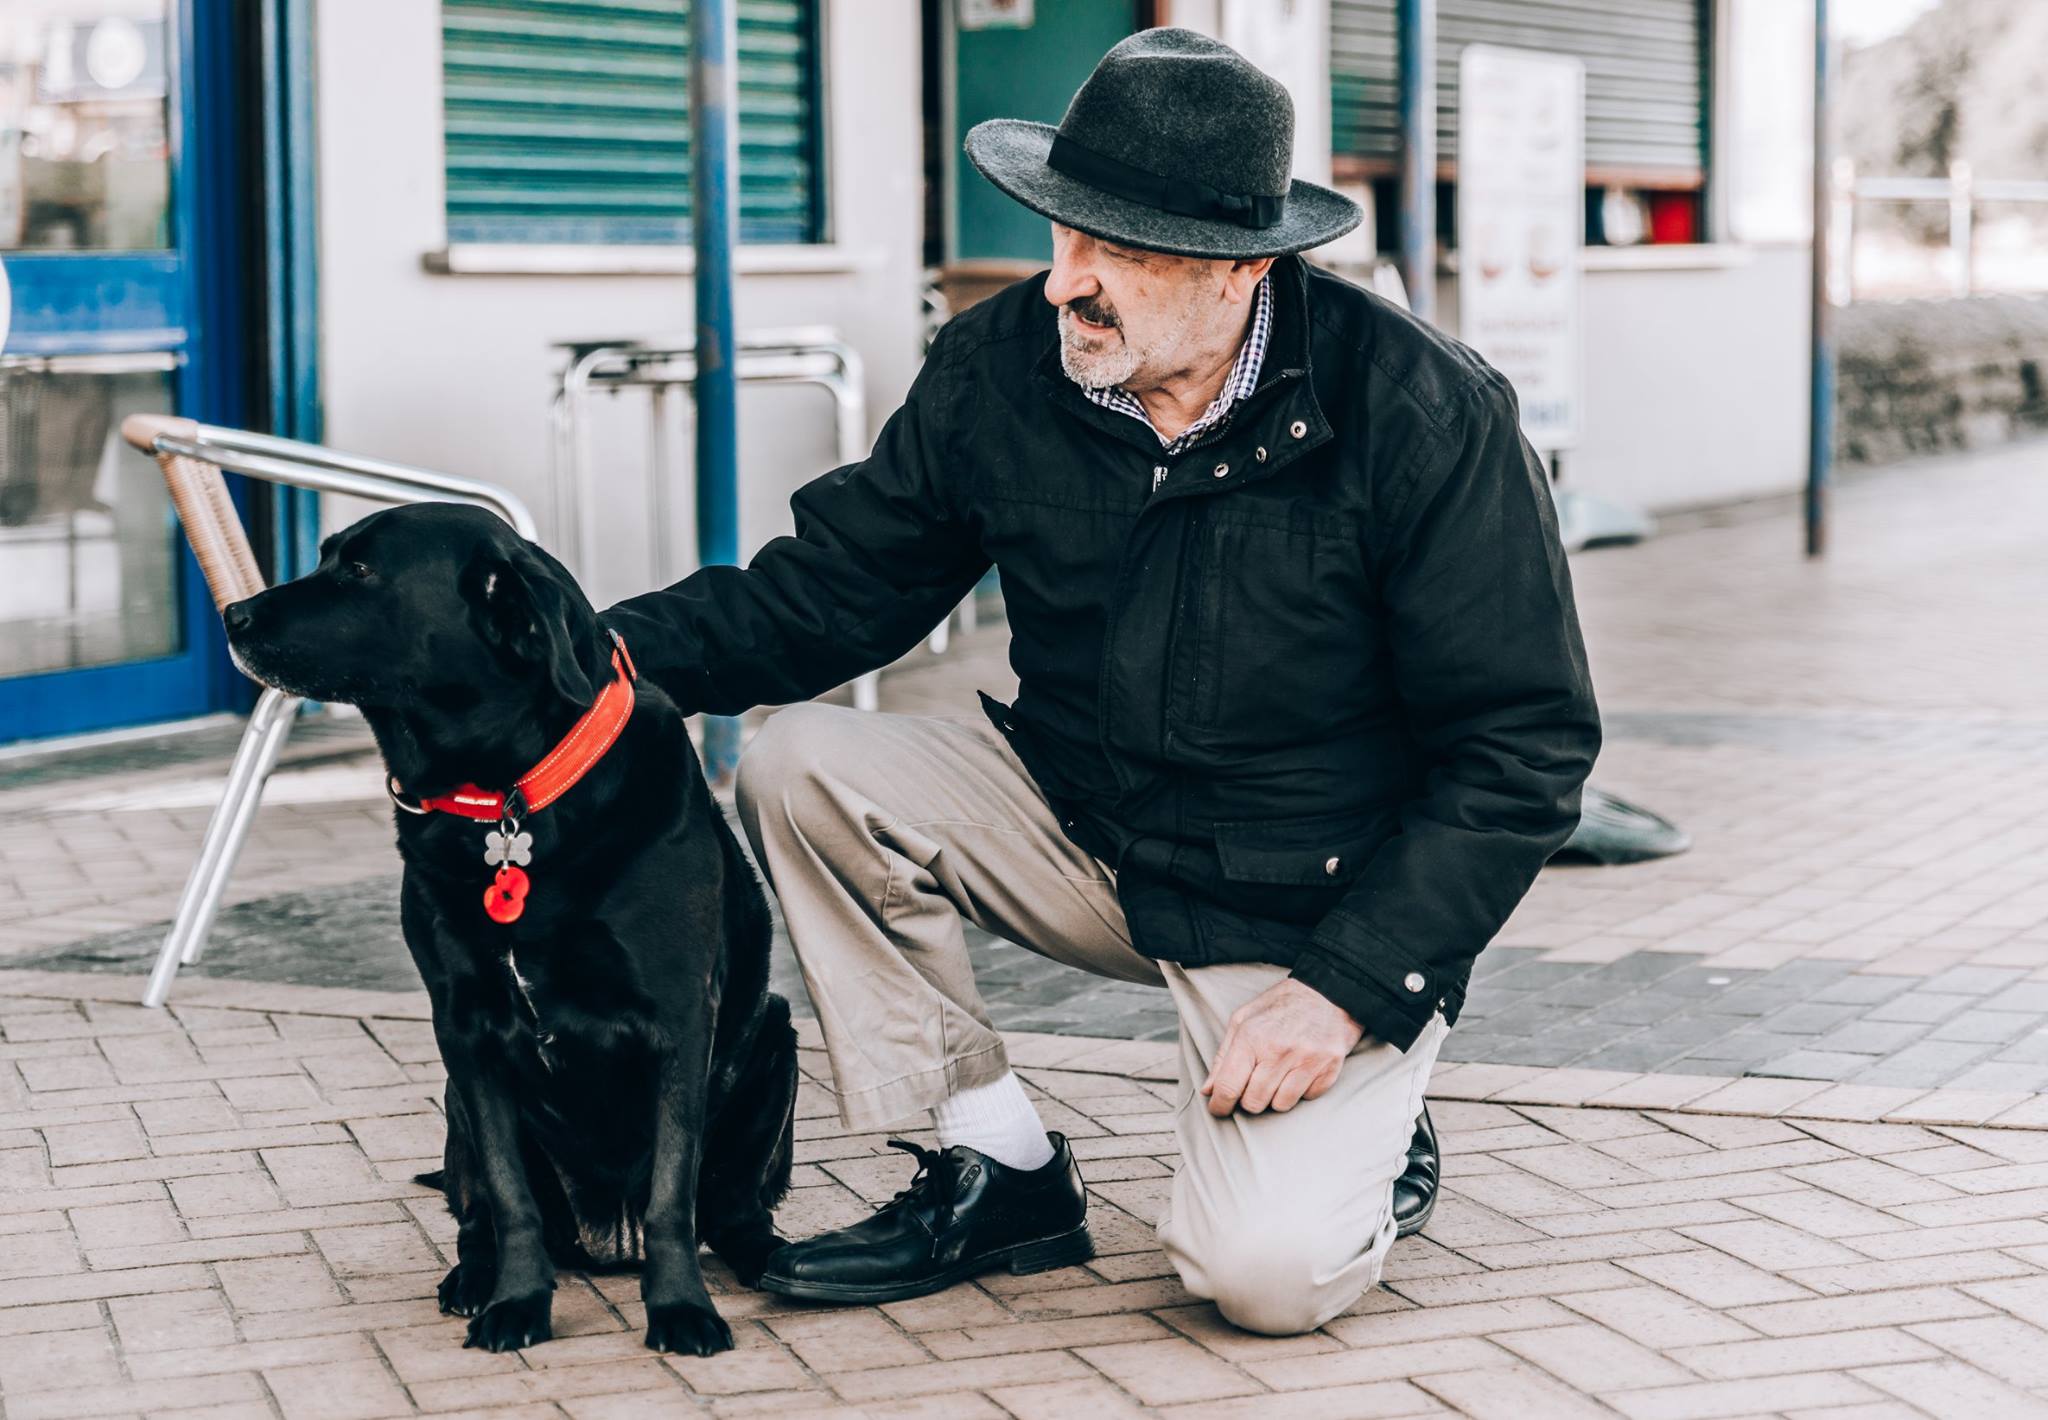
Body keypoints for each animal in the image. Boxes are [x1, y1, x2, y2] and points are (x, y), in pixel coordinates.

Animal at [224, 502, 794, 1352]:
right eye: (326, 555)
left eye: (358, 570)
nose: (233, 613)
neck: (507, 799)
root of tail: (605, 1239)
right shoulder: (466, 1030)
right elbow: (509, 1196)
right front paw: (517, 1302)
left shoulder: (681, 1018)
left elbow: (671, 1194)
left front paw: (681, 1309)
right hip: (454, 1103)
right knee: (476, 1217)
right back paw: (471, 1279)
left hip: (774, 1039)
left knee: (729, 1207)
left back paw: (771, 1257)